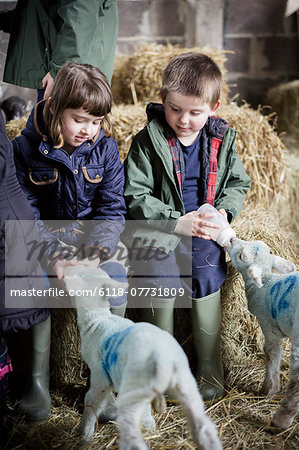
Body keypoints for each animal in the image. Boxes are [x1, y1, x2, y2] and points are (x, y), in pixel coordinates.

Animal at [63, 266, 223, 448]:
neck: (97, 319)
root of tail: (162, 357)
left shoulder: (99, 375)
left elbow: (91, 401)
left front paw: (84, 434)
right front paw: (149, 426)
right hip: (184, 381)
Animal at [229, 236, 298, 428]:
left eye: (241, 256)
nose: (231, 239)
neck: (268, 281)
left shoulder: (269, 326)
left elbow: (270, 353)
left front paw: (270, 388)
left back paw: (281, 420)